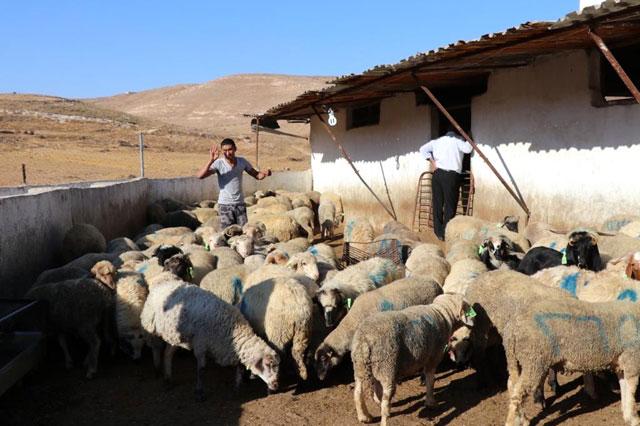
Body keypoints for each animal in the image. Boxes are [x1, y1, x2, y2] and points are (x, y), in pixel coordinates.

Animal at [140, 280, 280, 400]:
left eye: (277, 365)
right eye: (267, 365)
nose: (276, 385)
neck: (233, 330)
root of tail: (162, 283)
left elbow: (239, 368)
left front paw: (237, 387)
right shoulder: (201, 345)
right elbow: (201, 370)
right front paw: (199, 392)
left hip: (174, 335)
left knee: (167, 354)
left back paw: (168, 378)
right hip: (150, 326)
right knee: (156, 348)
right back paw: (157, 369)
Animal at [350, 292, 476, 426]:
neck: (442, 313)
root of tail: (365, 339)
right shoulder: (433, 356)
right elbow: (431, 380)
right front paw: (431, 402)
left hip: (361, 366)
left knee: (357, 393)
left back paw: (364, 417)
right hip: (387, 365)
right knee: (385, 402)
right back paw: (383, 418)